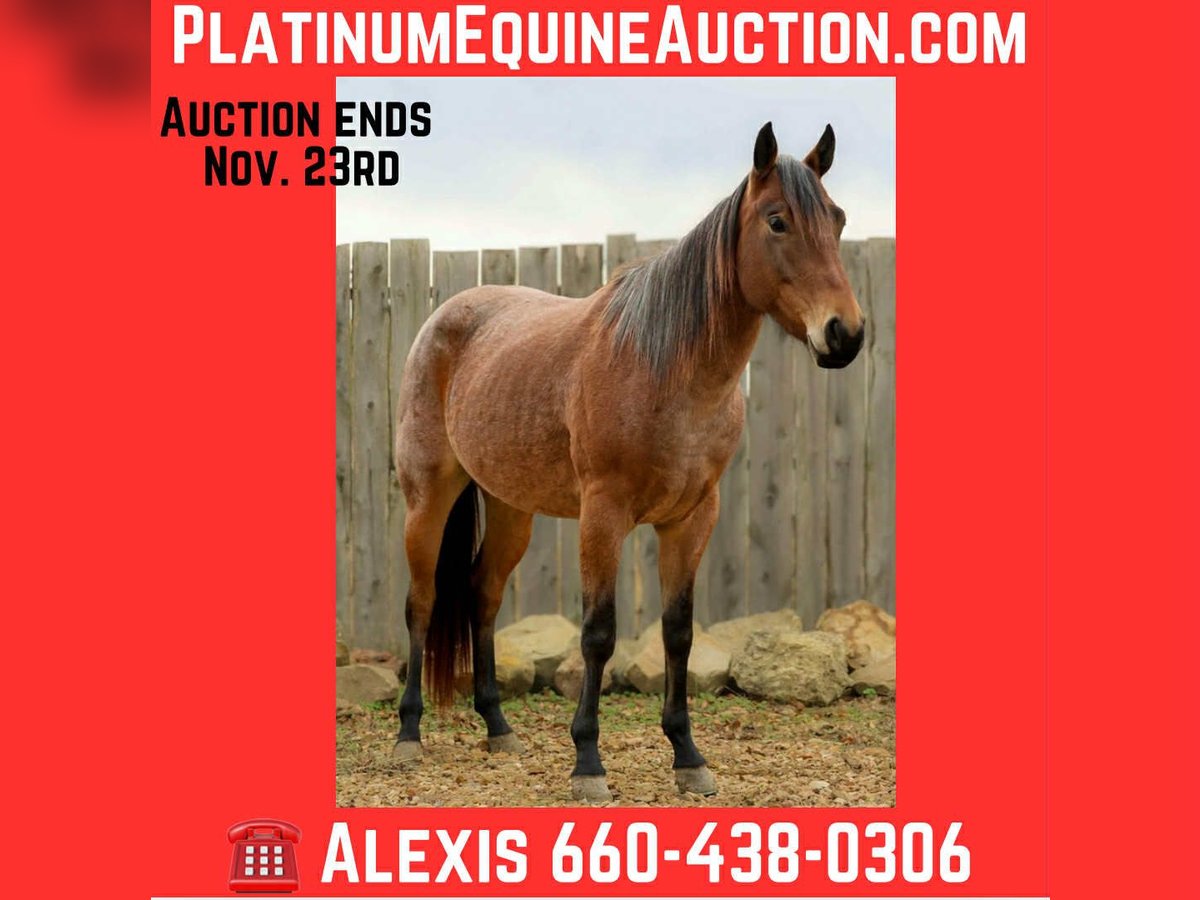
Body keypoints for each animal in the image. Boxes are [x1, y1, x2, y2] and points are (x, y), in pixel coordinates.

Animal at [391, 122, 866, 802]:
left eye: (838, 218)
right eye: (778, 221)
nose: (844, 334)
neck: (664, 366)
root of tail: (443, 318)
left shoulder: (692, 519)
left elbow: (679, 631)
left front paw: (688, 756)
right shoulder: (604, 514)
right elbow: (598, 632)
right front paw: (588, 762)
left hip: (511, 510)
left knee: (482, 596)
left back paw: (499, 727)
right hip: (428, 497)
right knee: (423, 602)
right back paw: (408, 735)